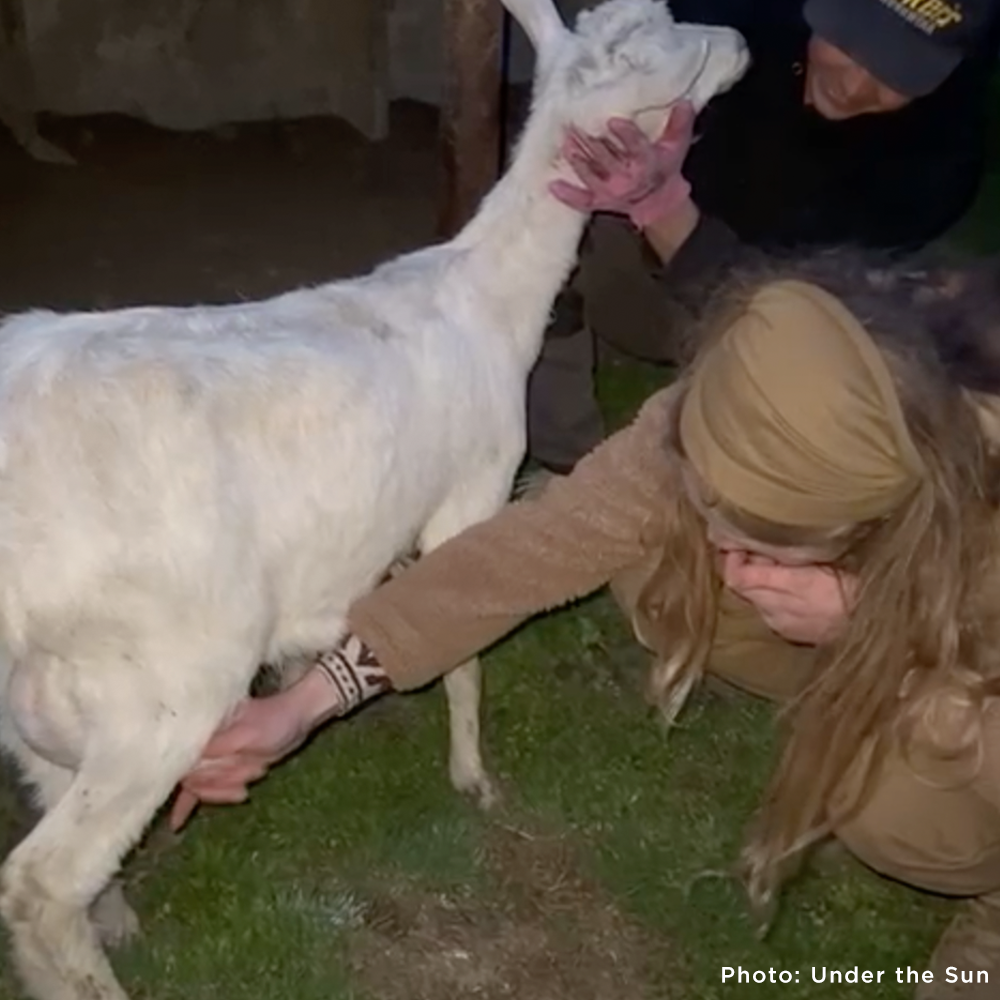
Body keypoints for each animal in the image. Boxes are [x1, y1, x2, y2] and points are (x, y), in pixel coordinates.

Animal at [0, 0, 748, 997]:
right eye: (676, 46)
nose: (742, 43)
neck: (490, 301)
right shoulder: (472, 491)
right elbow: (466, 653)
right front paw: (474, 778)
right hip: (154, 686)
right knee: (40, 886)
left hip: (42, 695)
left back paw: (115, 916)